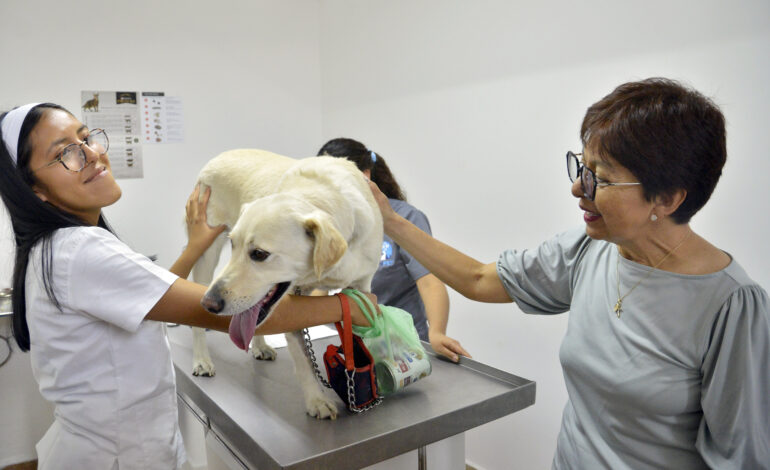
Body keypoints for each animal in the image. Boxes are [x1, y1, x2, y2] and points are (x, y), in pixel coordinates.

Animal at [189, 148, 380, 418]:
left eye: (259, 254)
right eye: (234, 244)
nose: (208, 303)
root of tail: (222, 154)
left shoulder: (362, 288)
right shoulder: (295, 304)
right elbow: (303, 361)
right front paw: (317, 400)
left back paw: (258, 346)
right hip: (206, 252)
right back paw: (202, 360)